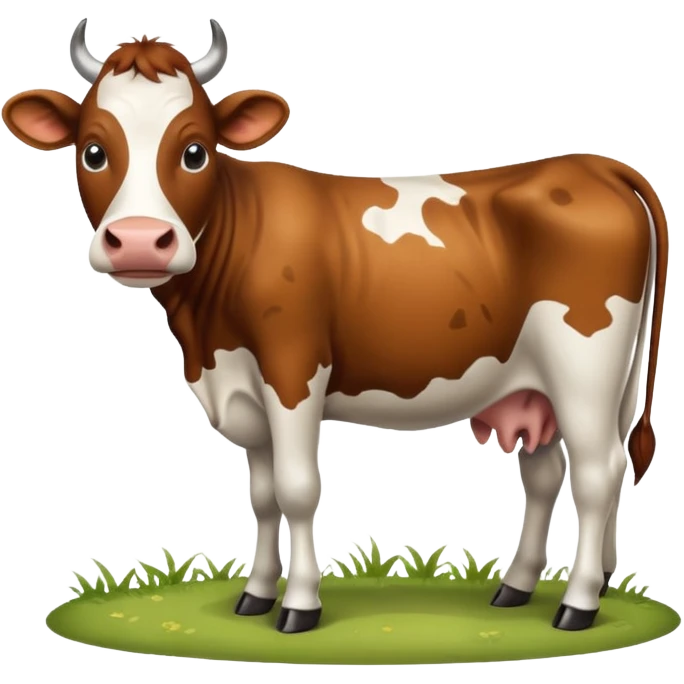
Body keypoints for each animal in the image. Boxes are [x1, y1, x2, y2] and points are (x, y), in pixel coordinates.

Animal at [1, 18, 669, 635]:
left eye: (195, 152)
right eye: (93, 150)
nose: (140, 240)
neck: (205, 336)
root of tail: (595, 167)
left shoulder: (293, 371)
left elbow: (297, 490)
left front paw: (299, 606)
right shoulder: (243, 389)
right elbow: (263, 497)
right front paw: (256, 595)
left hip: (585, 371)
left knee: (598, 473)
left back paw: (578, 604)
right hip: (537, 385)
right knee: (545, 475)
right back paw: (523, 585)